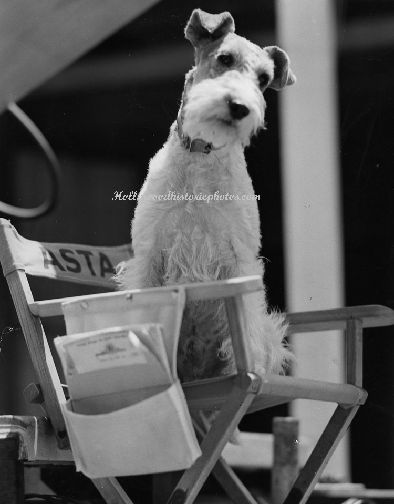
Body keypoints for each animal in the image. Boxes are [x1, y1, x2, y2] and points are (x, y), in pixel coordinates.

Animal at [118, 8, 294, 382]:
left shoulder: (239, 258)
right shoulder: (149, 253)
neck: (202, 154)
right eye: (225, 58)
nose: (239, 107)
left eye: (263, 78)